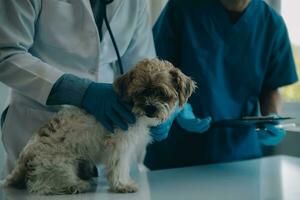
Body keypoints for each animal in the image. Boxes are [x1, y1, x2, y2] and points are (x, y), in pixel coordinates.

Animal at [3, 58, 196, 195]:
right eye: (140, 93)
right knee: (41, 185)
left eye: (163, 94)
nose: (150, 108)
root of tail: (24, 156)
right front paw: (122, 184)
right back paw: (75, 185)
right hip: (59, 165)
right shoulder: (120, 144)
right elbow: (119, 166)